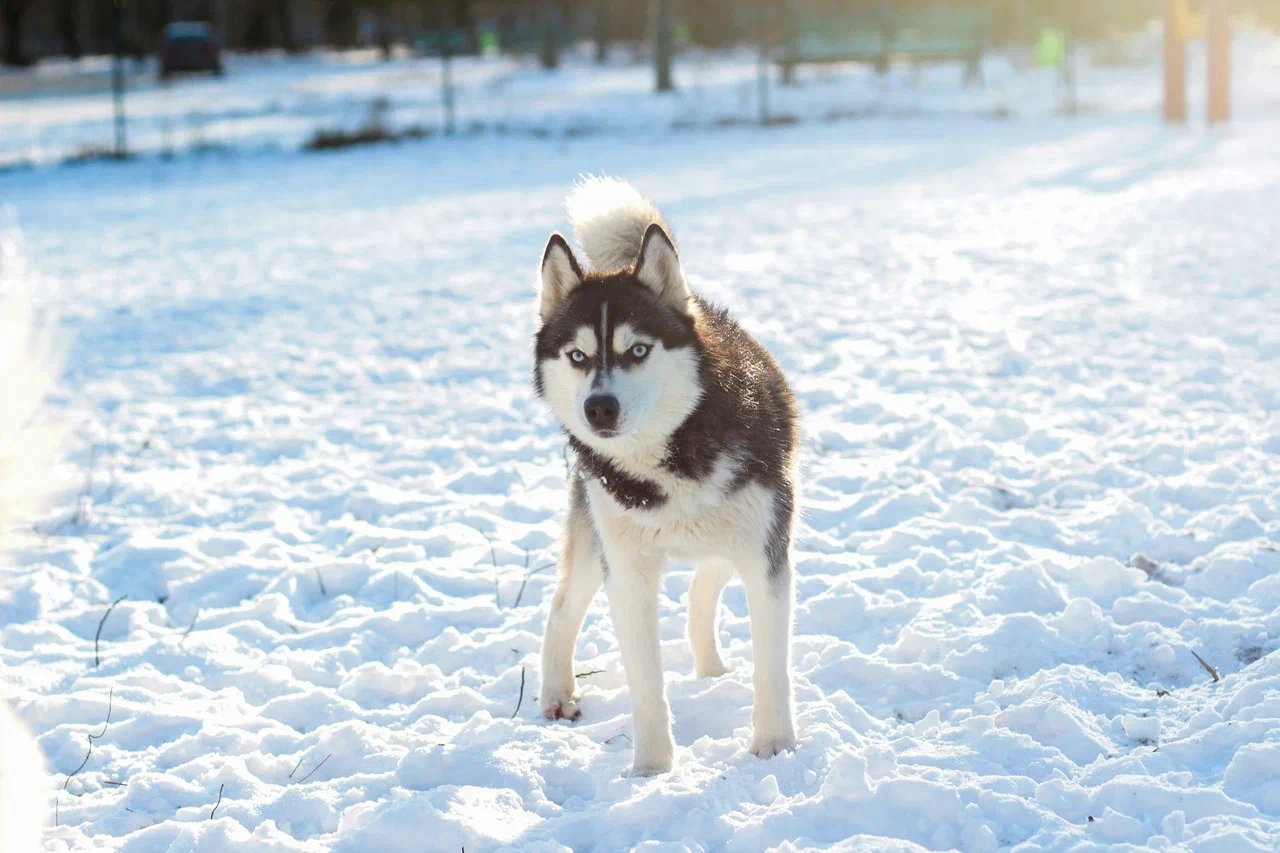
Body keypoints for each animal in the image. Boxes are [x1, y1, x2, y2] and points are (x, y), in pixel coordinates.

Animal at [532, 175, 798, 773]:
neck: (670, 458)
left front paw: (775, 745)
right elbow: (647, 687)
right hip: (596, 540)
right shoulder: (628, 574)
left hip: (743, 532)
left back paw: (711, 670)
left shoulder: (766, 555)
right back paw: (557, 694)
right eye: (578, 356)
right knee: (560, 611)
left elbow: (771, 668)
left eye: (637, 350)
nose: (599, 408)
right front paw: (652, 769)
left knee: (704, 588)